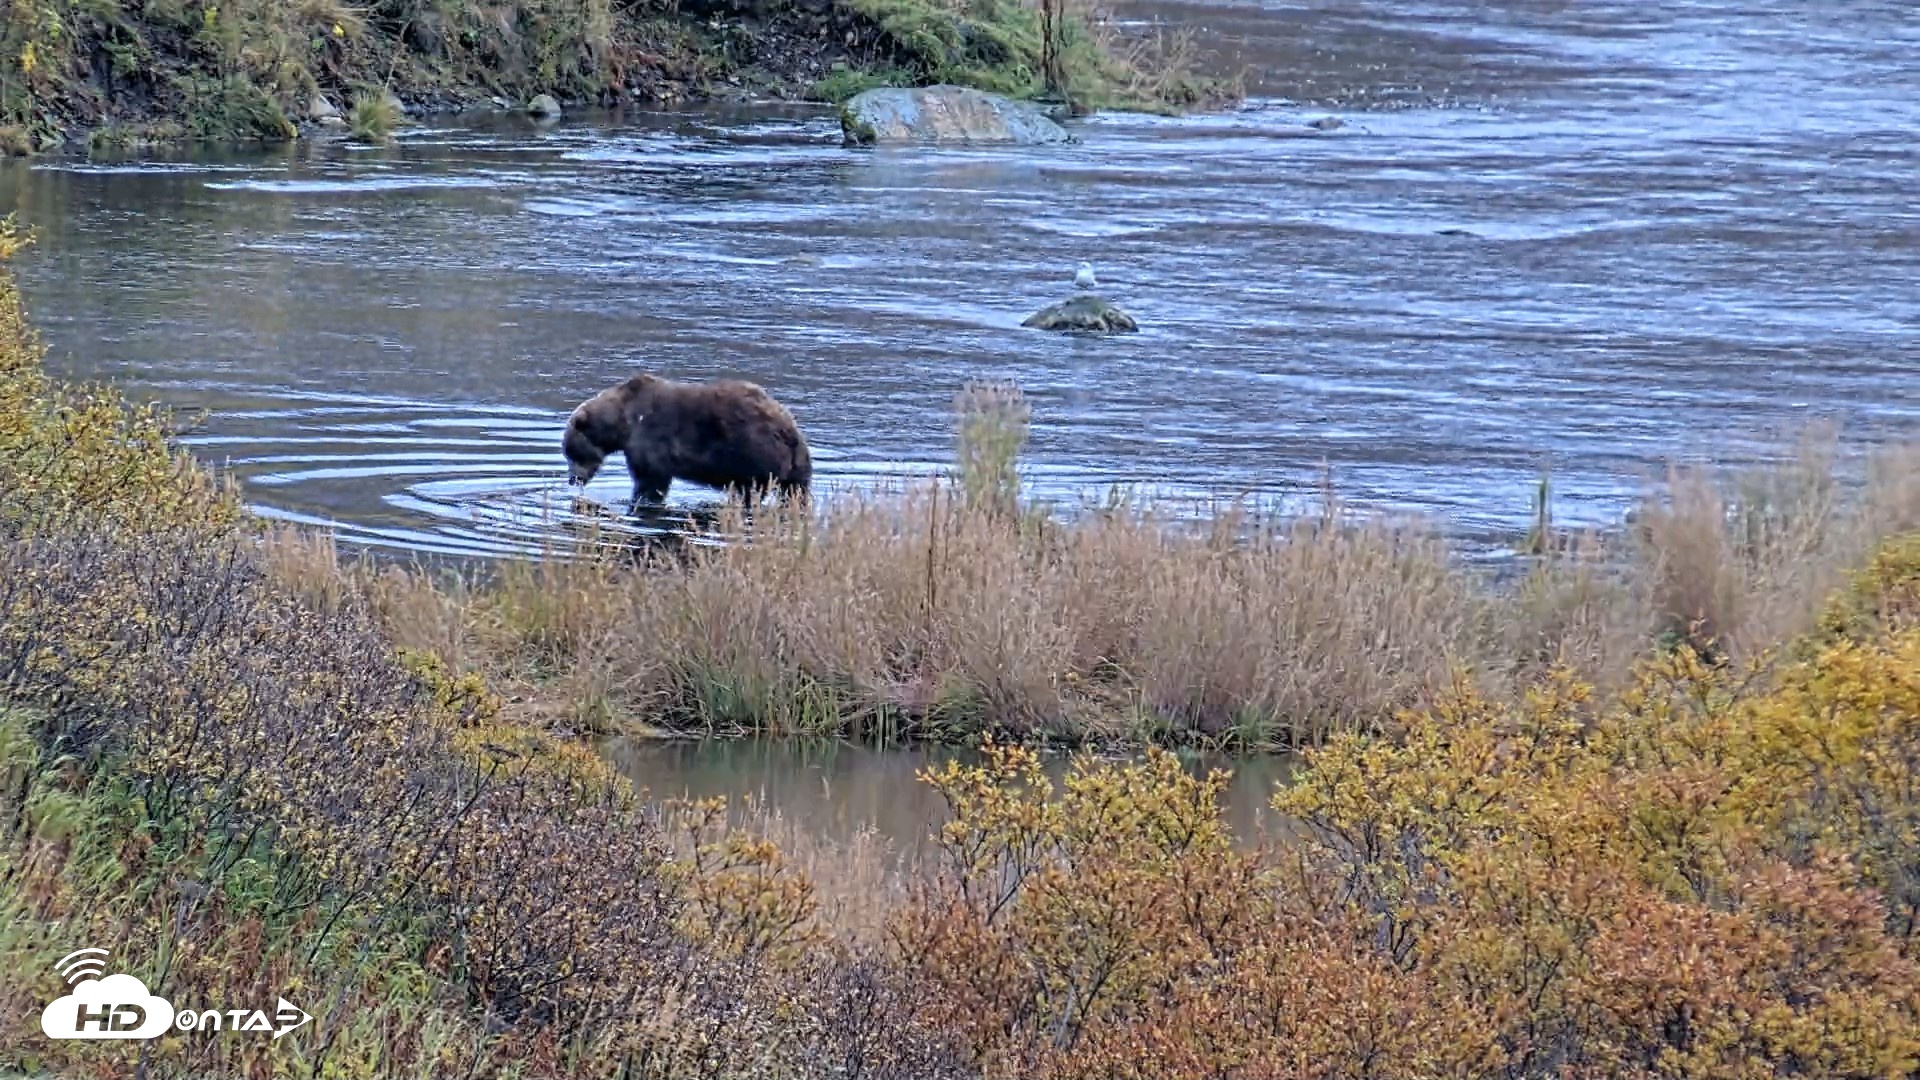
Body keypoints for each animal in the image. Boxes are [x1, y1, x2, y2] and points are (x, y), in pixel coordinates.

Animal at [561, 373, 812, 506]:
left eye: (571, 454)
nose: (573, 479)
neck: (621, 423)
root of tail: (788, 429)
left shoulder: (649, 438)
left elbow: (650, 479)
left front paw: (642, 499)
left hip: (751, 452)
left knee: (750, 491)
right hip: (794, 464)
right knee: (795, 491)